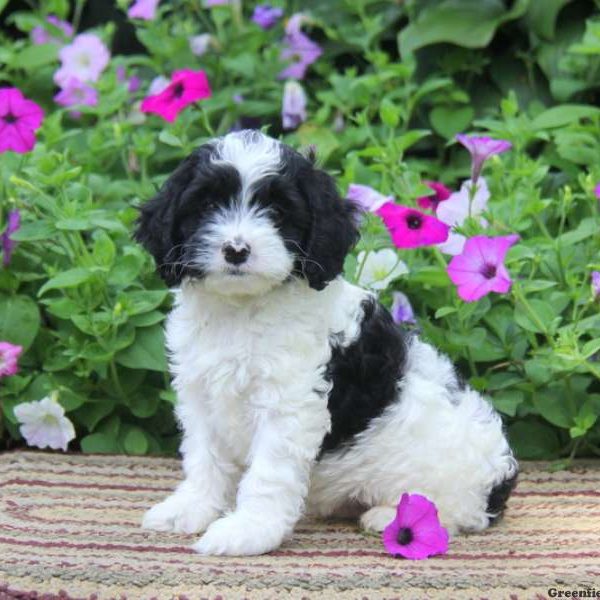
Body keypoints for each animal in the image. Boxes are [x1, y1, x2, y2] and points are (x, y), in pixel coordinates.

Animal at [135, 131, 516, 556]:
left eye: (277, 211)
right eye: (207, 205)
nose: (236, 250)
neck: (242, 310)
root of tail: (501, 478)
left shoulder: (288, 405)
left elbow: (267, 474)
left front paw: (247, 531)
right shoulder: (201, 394)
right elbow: (205, 459)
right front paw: (190, 509)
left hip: (452, 474)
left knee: (456, 512)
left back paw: (391, 516)